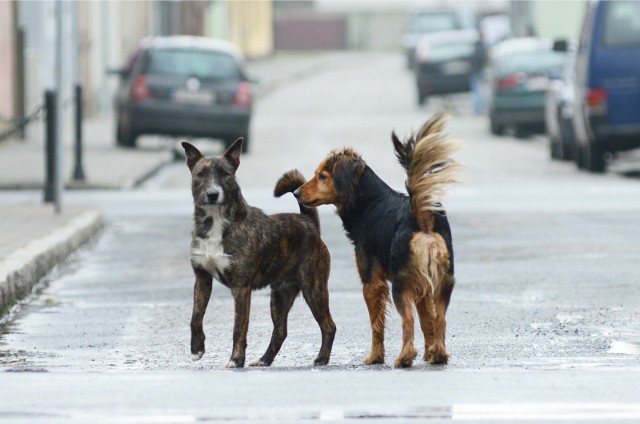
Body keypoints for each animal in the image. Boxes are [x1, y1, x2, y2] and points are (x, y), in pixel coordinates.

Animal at [181, 139, 336, 368]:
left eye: (226, 174)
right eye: (200, 173)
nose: (213, 194)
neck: (217, 222)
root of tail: (309, 224)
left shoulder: (241, 288)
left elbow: (239, 327)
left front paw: (236, 359)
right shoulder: (202, 280)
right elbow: (195, 317)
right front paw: (196, 348)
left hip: (313, 288)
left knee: (328, 326)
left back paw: (321, 358)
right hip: (280, 296)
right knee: (280, 331)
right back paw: (264, 359)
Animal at [296, 115, 460, 368]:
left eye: (322, 176)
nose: (296, 192)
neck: (371, 202)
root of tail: (421, 216)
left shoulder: (372, 281)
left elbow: (377, 323)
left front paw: (375, 357)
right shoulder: (422, 284)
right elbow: (428, 321)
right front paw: (430, 353)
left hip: (401, 284)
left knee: (408, 320)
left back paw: (404, 357)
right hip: (443, 281)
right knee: (440, 318)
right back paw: (439, 355)